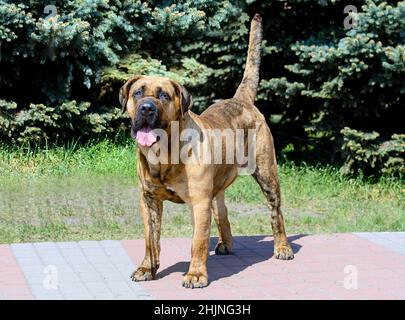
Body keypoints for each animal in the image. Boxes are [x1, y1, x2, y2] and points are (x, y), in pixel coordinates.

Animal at [118, 15, 292, 288]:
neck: (164, 154)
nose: (146, 108)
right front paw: (147, 268)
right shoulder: (148, 200)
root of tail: (241, 100)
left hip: (267, 174)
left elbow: (198, 242)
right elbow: (150, 239)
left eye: (164, 96)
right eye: (138, 93)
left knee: (276, 212)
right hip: (218, 186)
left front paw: (196, 275)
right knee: (222, 211)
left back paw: (282, 248)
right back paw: (225, 243)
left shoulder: (199, 202)